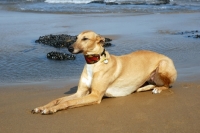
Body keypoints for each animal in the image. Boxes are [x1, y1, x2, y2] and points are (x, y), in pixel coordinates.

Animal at [32, 30, 177, 114]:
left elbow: (68, 102)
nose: (69, 48)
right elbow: (58, 99)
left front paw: (50, 109)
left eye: (85, 38)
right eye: (76, 38)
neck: (94, 63)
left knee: (167, 85)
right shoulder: (81, 92)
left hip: (162, 66)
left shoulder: (95, 95)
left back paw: (157, 89)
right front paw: (42, 107)